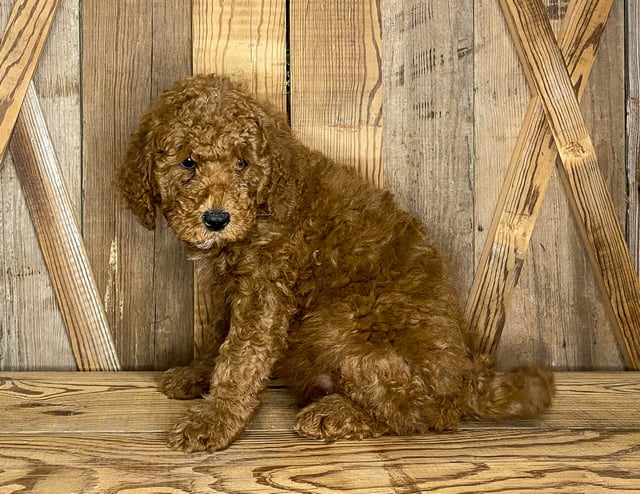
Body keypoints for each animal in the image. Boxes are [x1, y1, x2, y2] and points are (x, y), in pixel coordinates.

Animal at [116, 73, 556, 452]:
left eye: (243, 164)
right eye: (188, 162)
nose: (217, 219)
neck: (264, 204)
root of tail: (470, 377)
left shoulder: (264, 290)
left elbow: (240, 357)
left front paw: (214, 420)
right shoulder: (234, 289)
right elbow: (217, 338)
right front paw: (195, 375)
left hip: (341, 330)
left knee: (425, 413)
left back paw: (335, 413)